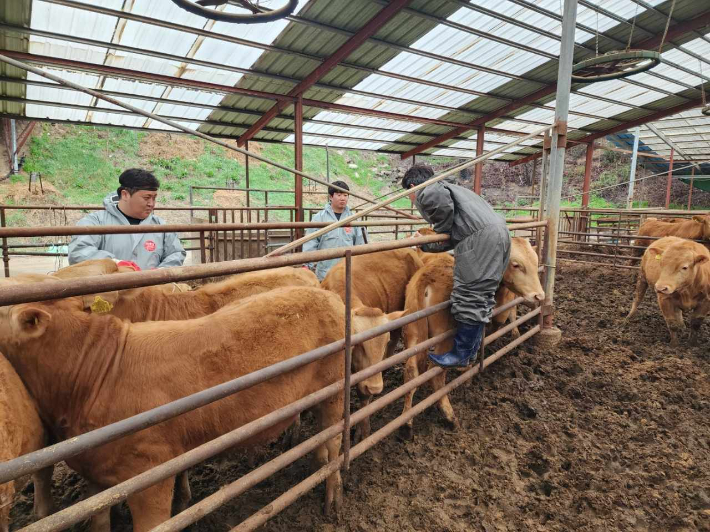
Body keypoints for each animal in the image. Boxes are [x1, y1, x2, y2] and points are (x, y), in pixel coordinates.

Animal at [400, 239, 544, 438]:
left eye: (536, 261)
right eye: (516, 265)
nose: (539, 296)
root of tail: (427, 277)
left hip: (414, 333)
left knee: (411, 372)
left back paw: (407, 422)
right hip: (445, 339)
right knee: (435, 374)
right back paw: (450, 416)